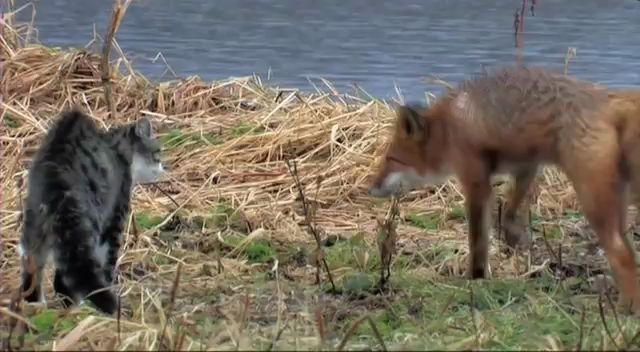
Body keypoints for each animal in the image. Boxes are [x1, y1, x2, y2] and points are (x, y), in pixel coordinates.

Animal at [18, 108, 165, 314]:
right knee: (68, 275)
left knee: (32, 267)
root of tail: (55, 180)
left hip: (35, 228)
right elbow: (109, 264)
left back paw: (36, 306)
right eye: (158, 151)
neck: (120, 153)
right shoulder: (115, 219)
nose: (163, 168)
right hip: (86, 226)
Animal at [368, 65, 640, 314]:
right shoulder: (526, 165)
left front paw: (474, 277)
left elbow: (477, 240)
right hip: (618, 206)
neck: (448, 129)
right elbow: (509, 211)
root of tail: (608, 99)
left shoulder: (476, 182)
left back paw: (625, 309)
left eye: (391, 159)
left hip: (593, 203)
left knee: (622, 256)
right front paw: (514, 238)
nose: (371, 188)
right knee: (630, 254)